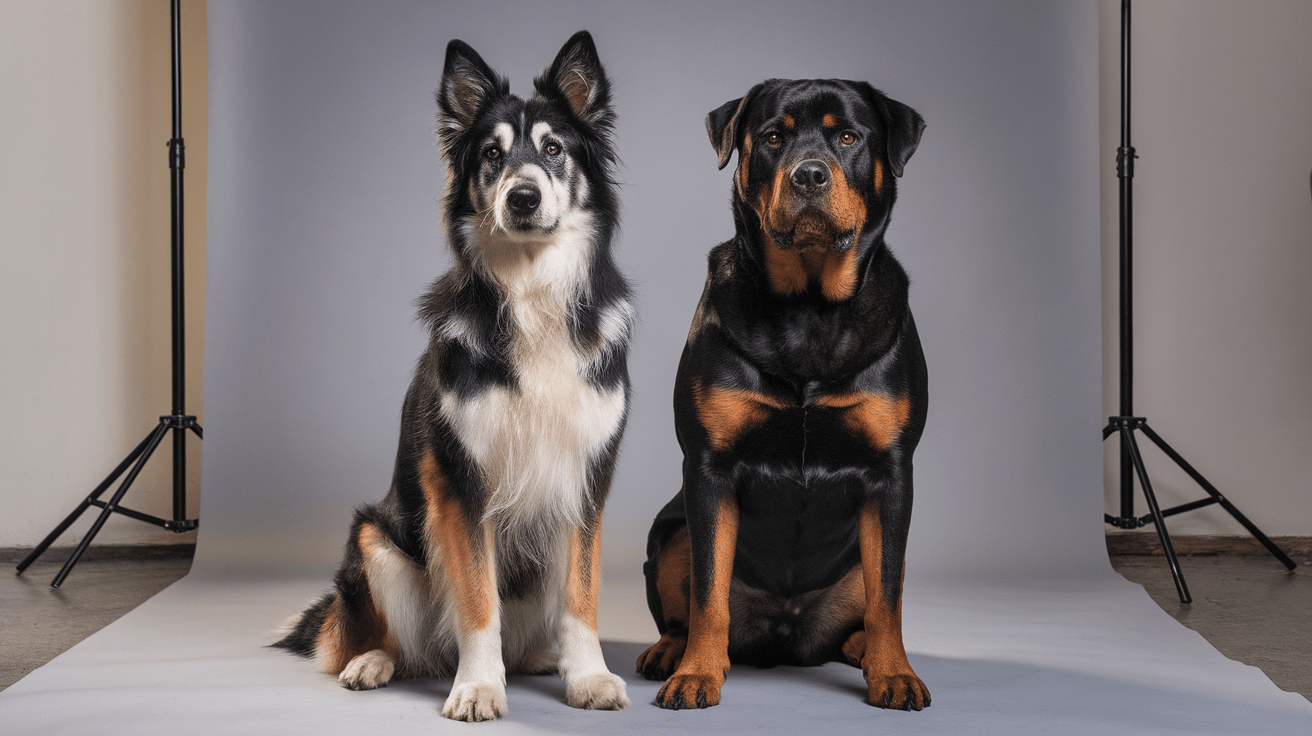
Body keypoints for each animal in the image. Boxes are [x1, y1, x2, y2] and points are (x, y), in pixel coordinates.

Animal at [272, 31, 635, 718]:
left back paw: (539, 659)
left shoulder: (587, 475)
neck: (531, 294)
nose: (523, 197)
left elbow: (582, 594)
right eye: (492, 155)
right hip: (376, 541)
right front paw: (478, 687)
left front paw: (589, 677)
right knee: (397, 640)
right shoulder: (460, 479)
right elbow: (476, 600)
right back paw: (372, 662)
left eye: (554, 148)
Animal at [637, 77, 934, 708]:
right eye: (774, 138)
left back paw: (863, 649)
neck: (810, 309)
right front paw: (697, 673)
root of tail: (785, 634)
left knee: (871, 604)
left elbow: (888, 596)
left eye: (848, 137)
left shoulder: (892, 472)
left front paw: (894, 673)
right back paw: (671, 651)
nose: (810, 175)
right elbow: (708, 592)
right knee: (687, 601)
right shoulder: (709, 469)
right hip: (669, 531)